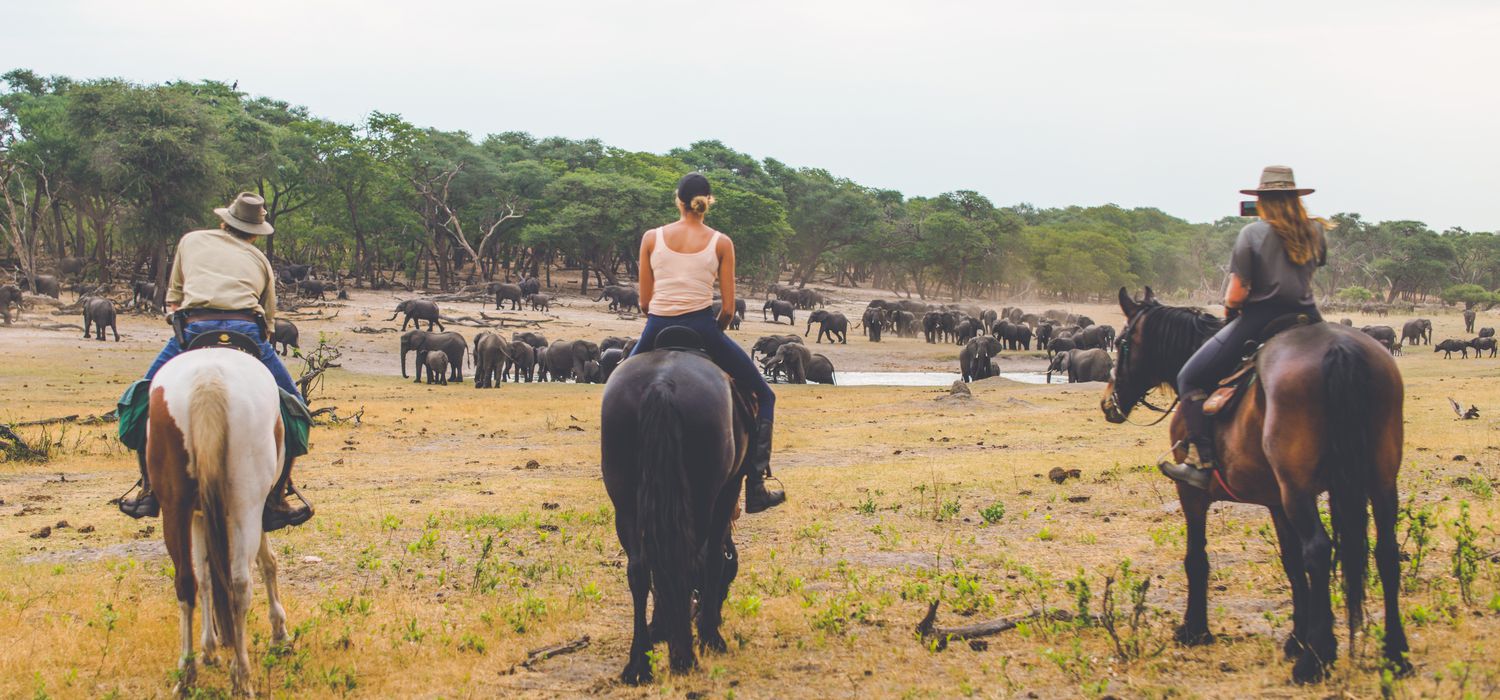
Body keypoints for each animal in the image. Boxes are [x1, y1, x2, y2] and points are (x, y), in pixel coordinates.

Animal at [150, 346, 291, 695]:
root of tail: (208, 381)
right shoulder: (252, 511)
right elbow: (267, 562)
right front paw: (279, 633)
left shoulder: (200, 514)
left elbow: (207, 577)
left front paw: (210, 648)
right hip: (246, 502)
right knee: (239, 583)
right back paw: (241, 676)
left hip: (175, 506)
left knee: (187, 581)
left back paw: (187, 676)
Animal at [597, 332, 750, 686]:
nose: (717, 613)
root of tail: (661, 383)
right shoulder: (729, 488)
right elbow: (712, 560)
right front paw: (707, 634)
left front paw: (660, 626)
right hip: (704, 496)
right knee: (691, 559)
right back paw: (689, 652)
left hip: (624, 501)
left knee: (640, 568)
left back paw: (639, 664)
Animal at [1104, 289, 1404, 686]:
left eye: (1123, 342)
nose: (1108, 402)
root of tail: (1339, 348)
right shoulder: (1277, 502)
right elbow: (1291, 563)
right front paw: (1296, 637)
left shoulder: (1193, 495)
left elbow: (1196, 558)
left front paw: (1194, 629)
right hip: (1381, 481)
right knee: (1386, 552)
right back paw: (1395, 653)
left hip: (1299, 489)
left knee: (1319, 550)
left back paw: (1315, 661)